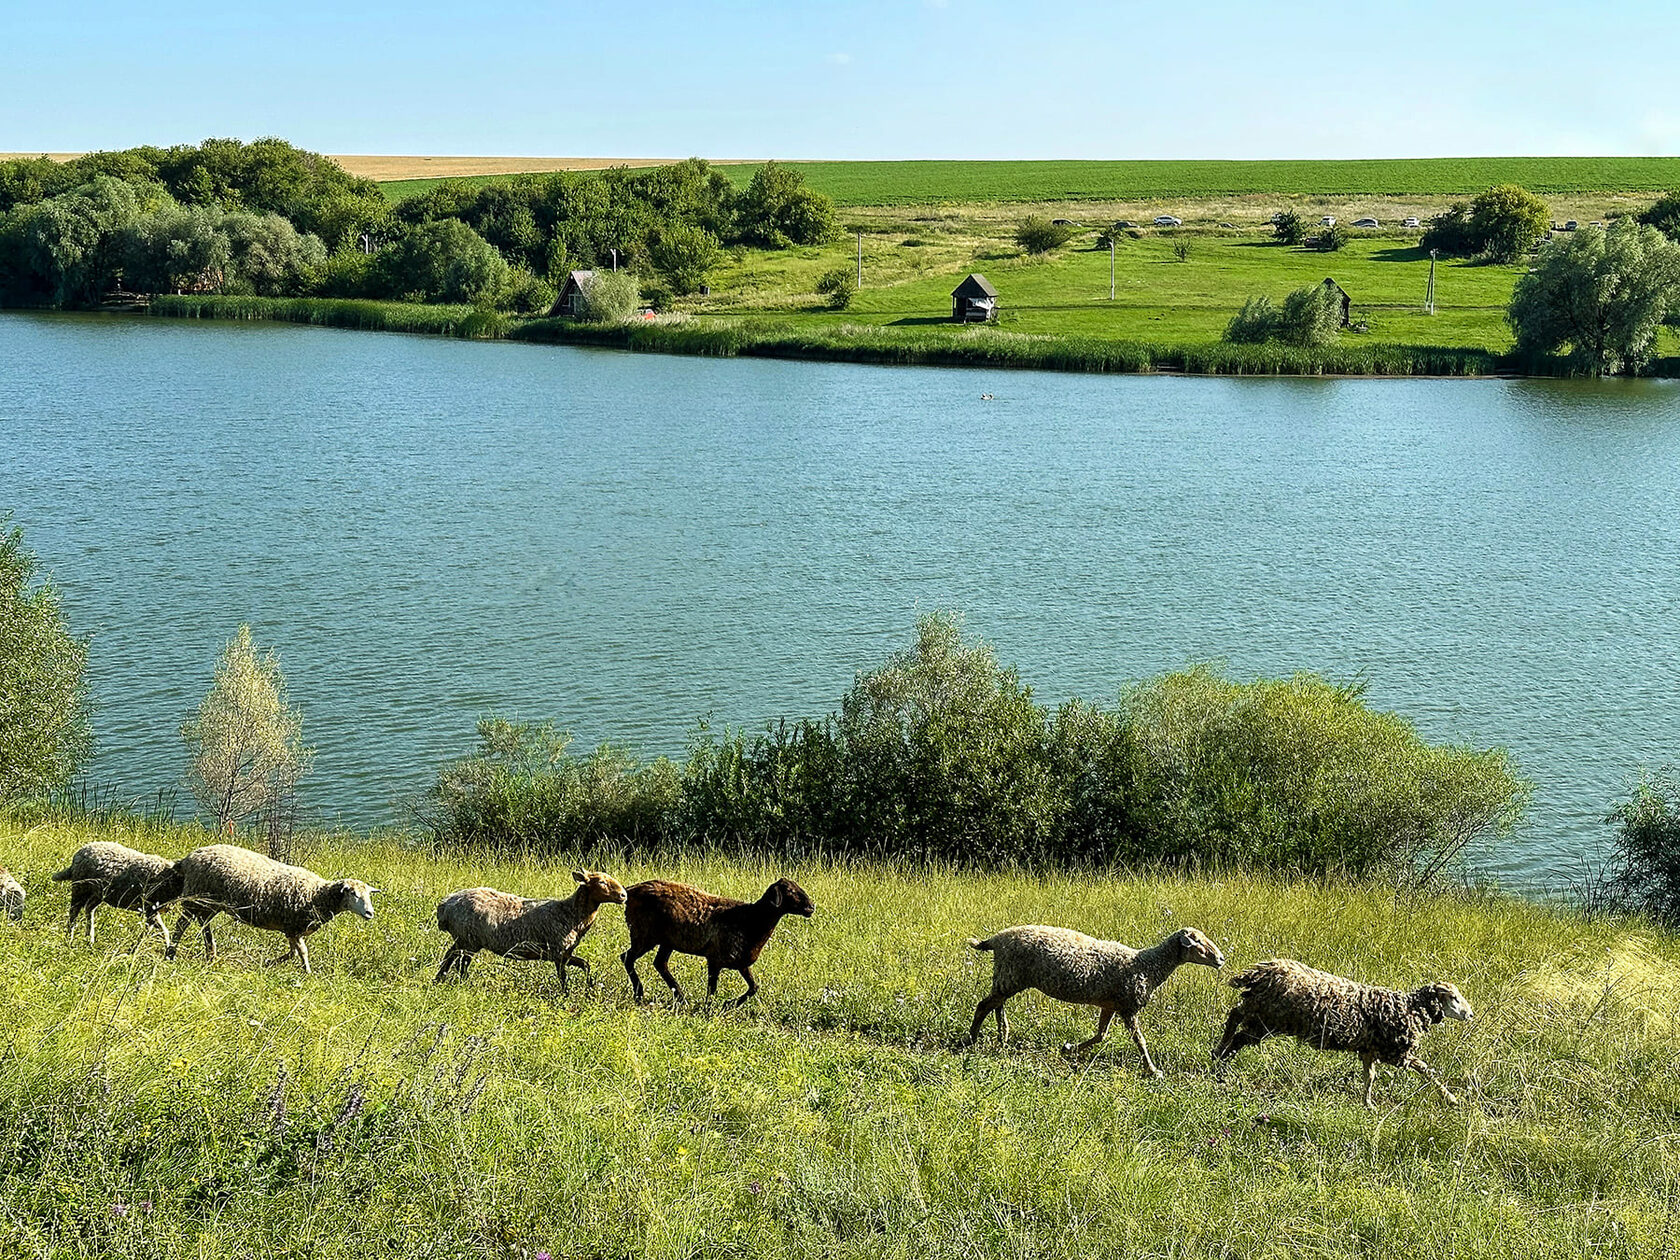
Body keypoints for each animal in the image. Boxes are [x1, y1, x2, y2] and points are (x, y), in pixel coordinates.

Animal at [159, 850, 378, 974]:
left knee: (203, 925)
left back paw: (210, 954)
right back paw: (171, 953)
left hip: (208, 903)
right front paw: (308, 972)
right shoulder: (294, 927)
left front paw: (271, 962)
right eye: (353, 894)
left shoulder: (291, 929)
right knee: (181, 925)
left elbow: (292, 953)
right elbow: (303, 952)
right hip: (195, 898)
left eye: (368, 895)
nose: (369, 913)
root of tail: (187, 860)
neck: (317, 895)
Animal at [433, 866, 631, 994]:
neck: (570, 913)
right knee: (460, 962)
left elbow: (585, 964)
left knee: (450, 955)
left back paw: (439, 978)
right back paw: (462, 982)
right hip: (469, 939)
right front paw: (566, 994)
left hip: (463, 939)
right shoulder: (557, 952)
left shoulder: (565, 953)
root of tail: (445, 905)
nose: (623, 895)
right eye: (602, 883)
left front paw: (590, 985)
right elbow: (563, 977)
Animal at [628, 880, 816, 1007]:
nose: (811, 907)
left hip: (667, 941)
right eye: (790, 890)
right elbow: (712, 988)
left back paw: (680, 997)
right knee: (627, 958)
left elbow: (754, 987)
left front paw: (729, 1004)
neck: (752, 920)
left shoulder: (741, 962)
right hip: (643, 934)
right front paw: (709, 1008)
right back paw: (639, 993)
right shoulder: (715, 959)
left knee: (659, 963)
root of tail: (631, 889)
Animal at [967, 920, 1229, 1081]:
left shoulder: (1110, 1005)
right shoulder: (1128, 1007)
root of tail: (996, 939)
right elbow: (1140, 1041)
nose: (1221, 959)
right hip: (1010, 976)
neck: (1147, 965)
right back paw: (972, 1039)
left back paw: (1002, 1035)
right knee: (984, 1005)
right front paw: (1152, 1069)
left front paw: (1069, 1049)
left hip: (1007, 976)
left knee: (996, 1005)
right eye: (1198, 942)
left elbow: (1100, 1035)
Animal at [1209, 960, 1471, 1108]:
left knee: (1237, 1025)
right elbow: (1426, 1070)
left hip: (1263, 1013)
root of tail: (1263, 971)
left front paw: (1367, 1103)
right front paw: (1451, 1097)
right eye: (1453, 998)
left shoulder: (1369, 1050)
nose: (1470, 1014)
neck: (1410, 1008)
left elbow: (1370, 1077)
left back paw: (1219, 1059)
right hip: (1267, 1015)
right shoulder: (1395, 1053)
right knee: (1236, 1022)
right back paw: (1219, 1056)